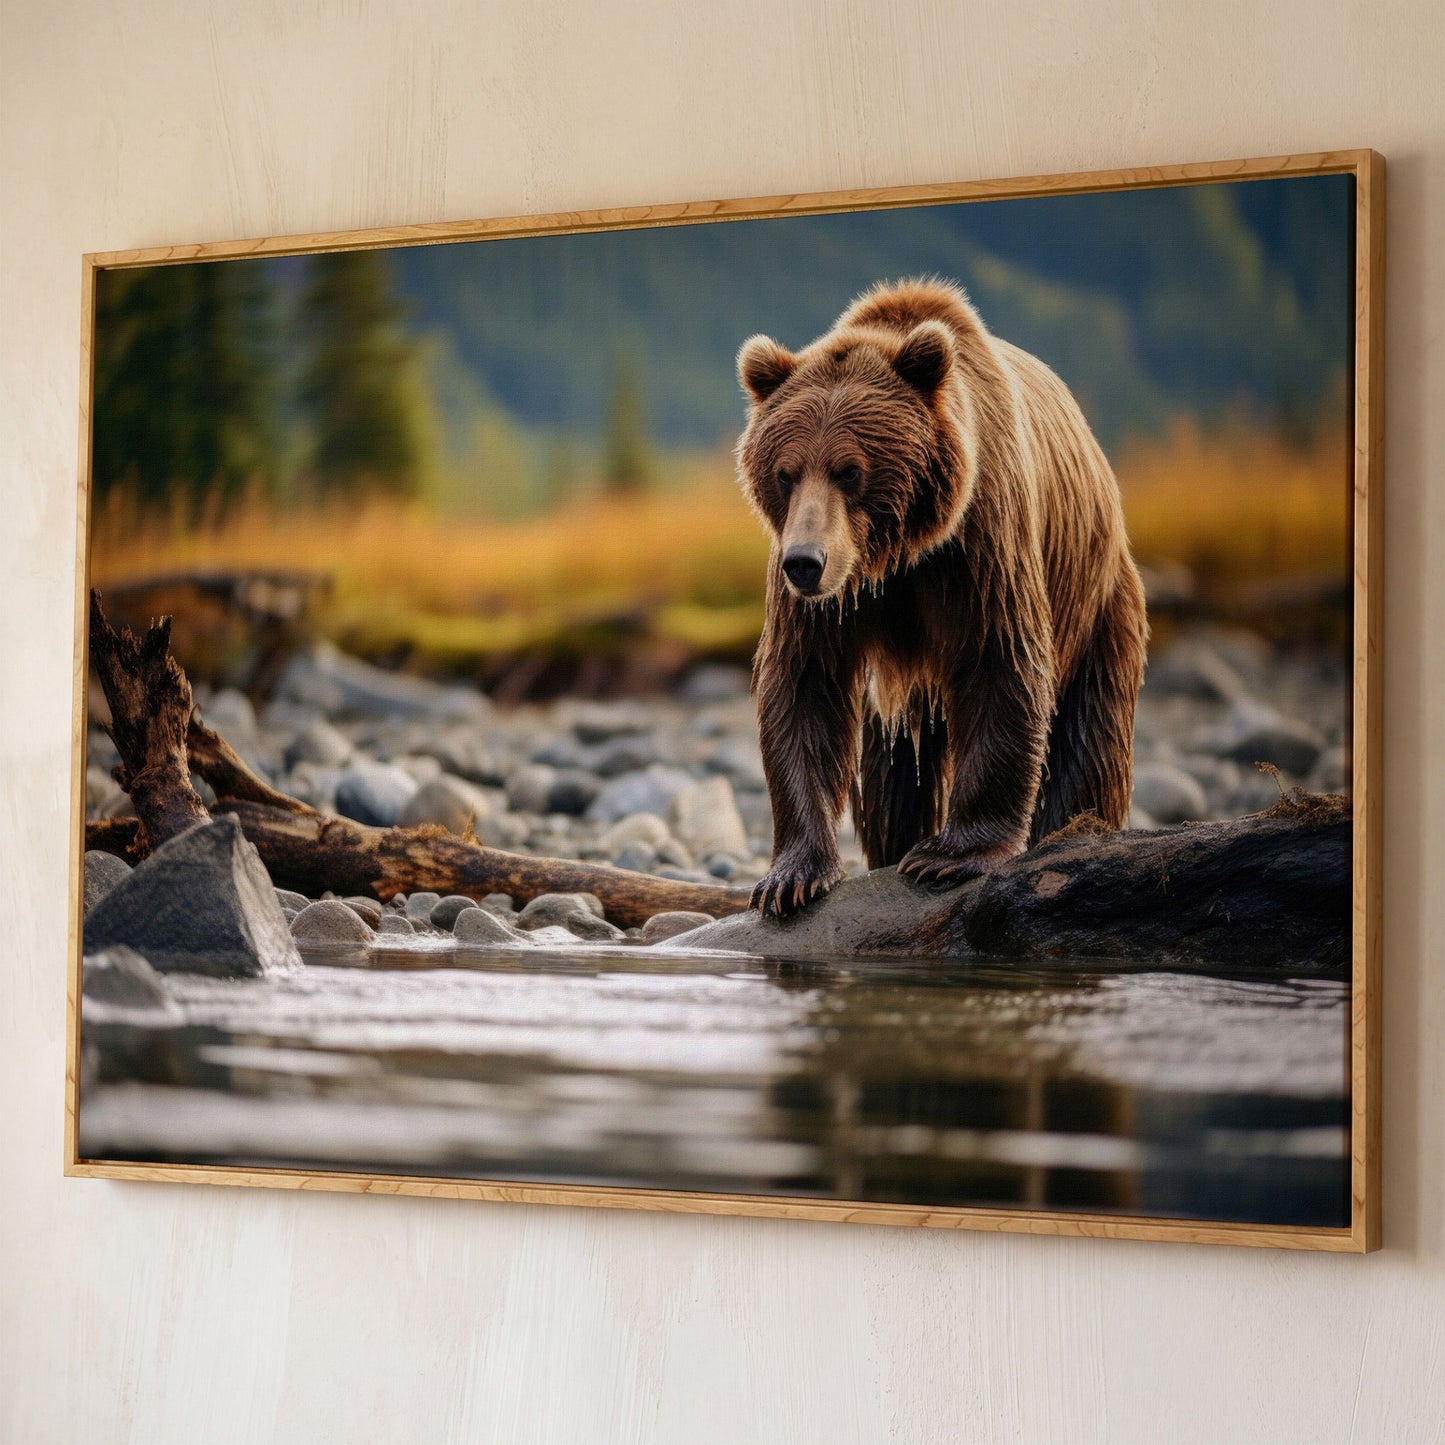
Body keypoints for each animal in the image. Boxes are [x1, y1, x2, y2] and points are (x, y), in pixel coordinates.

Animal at [735, 277, 1149, 916]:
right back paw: (893, 843)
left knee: (1090, 734)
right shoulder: (828, 599)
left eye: (849, 470)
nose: (806, 562)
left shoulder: (980, 540)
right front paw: (791, 876)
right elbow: (804, 682)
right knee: (892, 774)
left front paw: (948, 856)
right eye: (785, 471)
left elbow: (999, 658)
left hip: (1098, 599)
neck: (897, 553)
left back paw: (1076, 833)